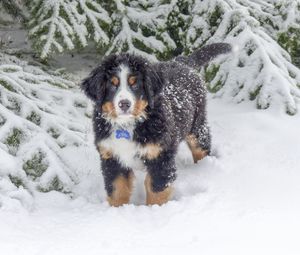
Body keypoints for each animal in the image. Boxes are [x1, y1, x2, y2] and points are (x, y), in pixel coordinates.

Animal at [81, 42, 231, 206]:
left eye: (135, 84)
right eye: (112, 85)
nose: (124, 104)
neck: (128, 125)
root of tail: (182, 61)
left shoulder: (160, 156)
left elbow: (156, 190)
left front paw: (154, 210)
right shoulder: (112, 157)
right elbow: (117, 191)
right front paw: (116, 210)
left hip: (197, 126)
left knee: (201, 149)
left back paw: (204, 169)